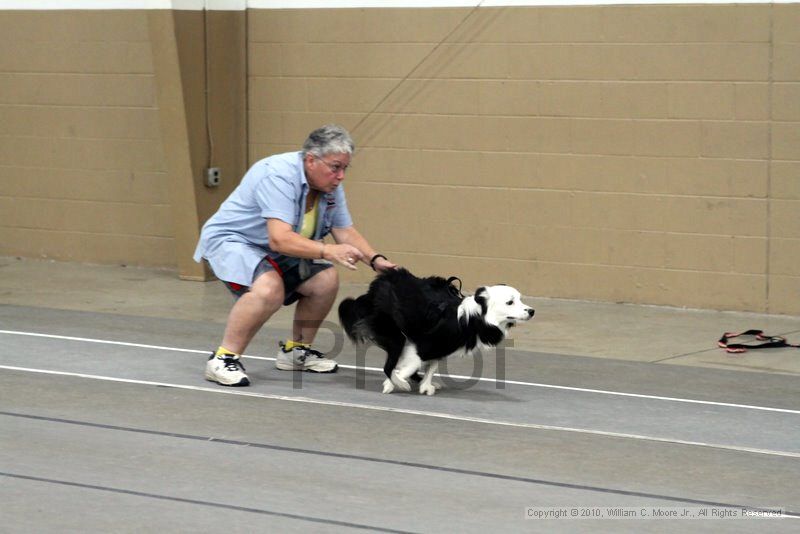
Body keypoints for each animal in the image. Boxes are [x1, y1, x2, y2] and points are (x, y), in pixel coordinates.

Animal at [336, 270, 532, 396]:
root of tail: (377, 285)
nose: (532, 311)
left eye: (520, 299)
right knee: (388, 365)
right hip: (394, 335)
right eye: (510, 302)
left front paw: (425, 385)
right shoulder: (423, 344)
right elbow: (413, 364)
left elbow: (432, 365)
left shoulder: (437, 347)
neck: (473, 318)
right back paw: (401, 383)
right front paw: (394, 383)